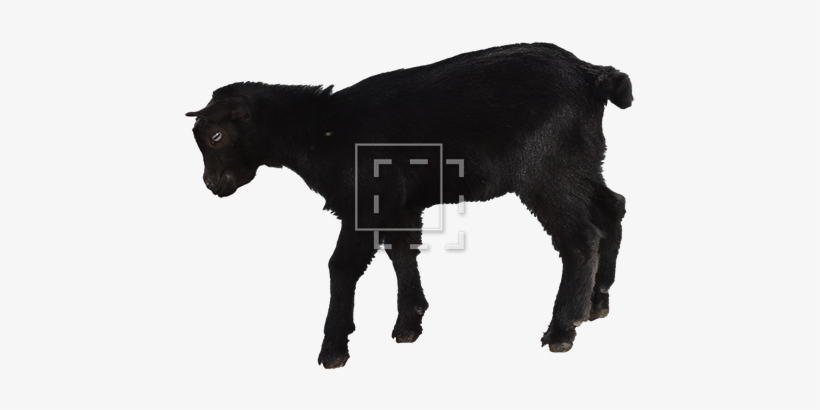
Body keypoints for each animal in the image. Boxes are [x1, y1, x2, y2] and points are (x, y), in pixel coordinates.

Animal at [186, 43, 632, 369]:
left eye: (217, 137)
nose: (212, 185)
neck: (321, 131)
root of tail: (590, 74)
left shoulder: (366, 200)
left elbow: (342, 266)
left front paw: (334, 348)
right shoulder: (399, 204)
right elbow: (402, 253)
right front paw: (409, 321)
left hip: (548, 168)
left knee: (580, 239)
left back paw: (563, 328)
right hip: (582, 159)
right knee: (612, 208)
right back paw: (598, 301)